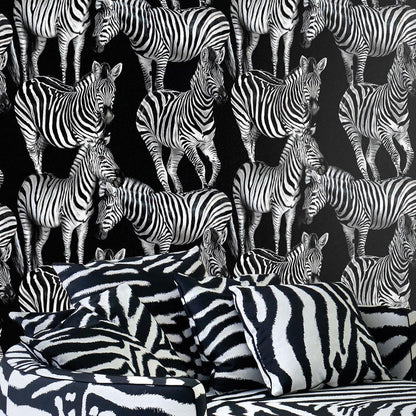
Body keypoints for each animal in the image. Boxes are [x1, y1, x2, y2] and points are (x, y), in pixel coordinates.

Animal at [17, 139, 123, 272]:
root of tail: (33, 175)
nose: (121, 178)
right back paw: (29, 271)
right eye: (101, 158)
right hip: (24, 217)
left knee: (37, 246)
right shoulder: (66, 225)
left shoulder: (84, 225)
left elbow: (80, 250)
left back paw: (40, 268)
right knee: (27, 247)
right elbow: (67, 251)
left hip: (44, 224)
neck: (85, 196)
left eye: (113, 157)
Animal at [93, 0, 235, 92]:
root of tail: (219, 11)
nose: (94, 46)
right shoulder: (143, 59)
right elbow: (148, 83)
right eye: (95, 20)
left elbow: (159, 84)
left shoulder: (162, 56)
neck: (143, 27)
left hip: (215, 44)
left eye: (105, 20)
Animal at [96, 177, 238, 257]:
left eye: (108, 208)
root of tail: (221, 193)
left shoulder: (165, 239)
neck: (146, 212)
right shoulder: (146, 244)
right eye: (98, 207)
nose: (97, 234)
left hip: (217, 225)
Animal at [136, 47, 227, 194]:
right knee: (161, 170)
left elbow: (217, 163)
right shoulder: (189, 143)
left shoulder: (207, 142)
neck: (204, 113)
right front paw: (205, 187)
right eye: (208, 74)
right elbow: (200, 165)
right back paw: (169, 194)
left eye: (222, 73)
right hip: (150, 137)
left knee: (171, 167)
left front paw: (211, 184)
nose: (224, 97)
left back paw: (179, 192)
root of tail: (152, 93)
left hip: (177, 145)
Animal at [339, 42, 416, 181]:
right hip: (351, 128)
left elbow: (411, 153)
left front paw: (405, 173)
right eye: (403, 69)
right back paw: (368, 181)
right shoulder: (385, 133)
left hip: (375, 135)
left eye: (415, 67)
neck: (399, 104)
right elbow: (395, 154)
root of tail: (353, 86)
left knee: (369, 155)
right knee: (360, 158)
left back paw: (377, 180)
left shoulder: (402, 133)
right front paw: (399, 176)